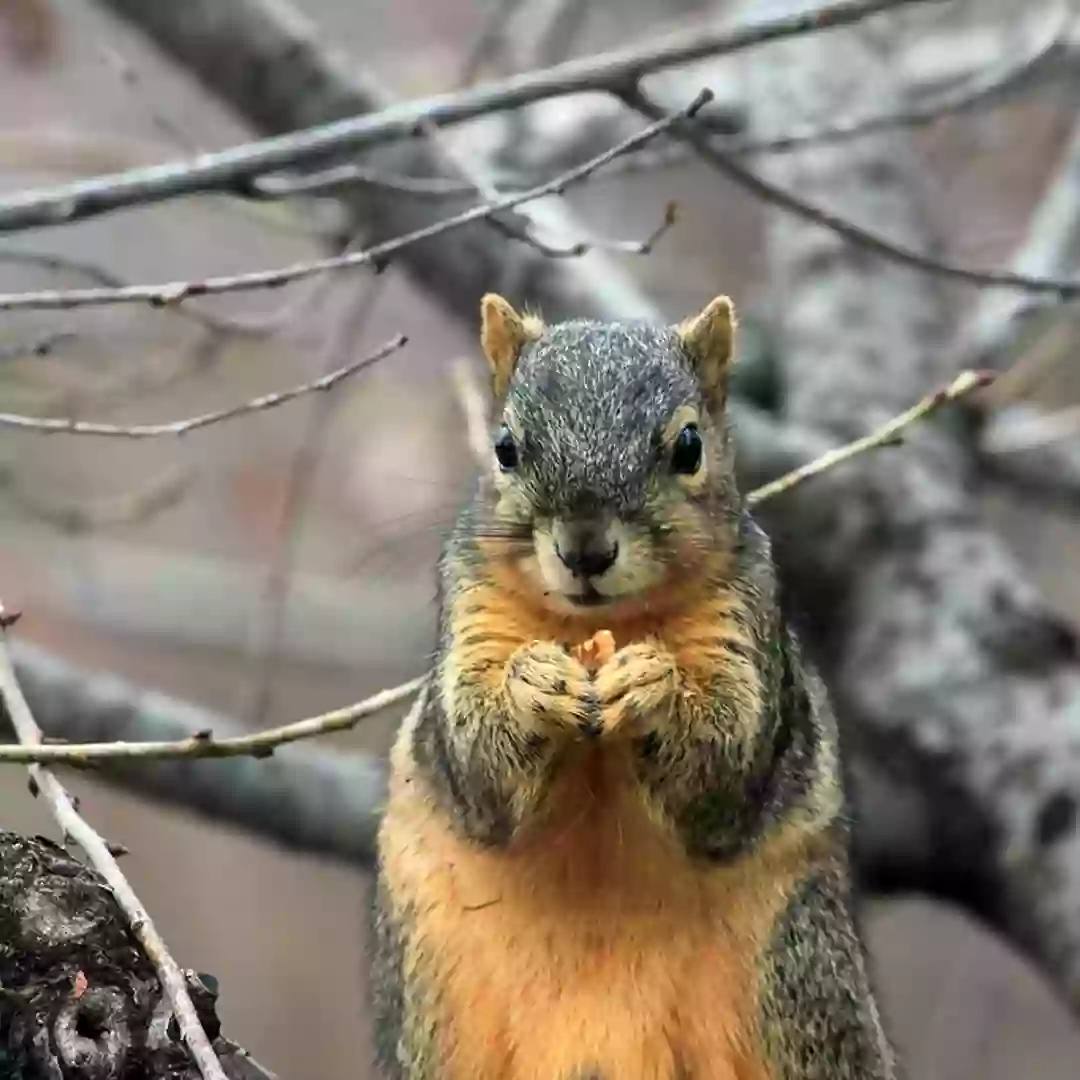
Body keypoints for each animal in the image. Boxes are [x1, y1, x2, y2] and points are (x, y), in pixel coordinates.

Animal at [369, 293, 899, 1080]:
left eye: (689, 447)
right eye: (505, 447)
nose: (585, 550)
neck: (602, 626)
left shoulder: (745, 628)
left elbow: (724, 765)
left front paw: (654, 686)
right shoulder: (470, 618)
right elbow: (477, 765)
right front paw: (533, 684)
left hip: (796, 978)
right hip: (431, 999)